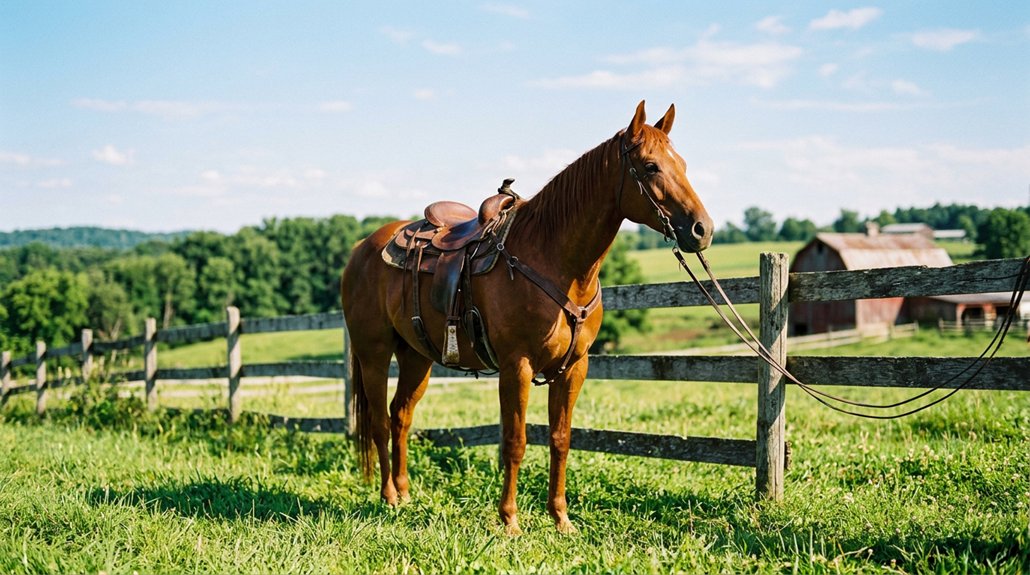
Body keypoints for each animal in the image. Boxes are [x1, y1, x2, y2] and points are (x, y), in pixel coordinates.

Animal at [340, 101, 713, 535]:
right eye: (651, 166)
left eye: (682, 164)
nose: (702, 230)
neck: (553, 260)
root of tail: (362, 248)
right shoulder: (516, 366)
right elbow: (515, 441)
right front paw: (510, 520)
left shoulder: (574, 368)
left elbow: (560, 439)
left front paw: (561, 518)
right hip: (374, 352)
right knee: (381, 423)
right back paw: (388, 497)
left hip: (417, 355)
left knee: (401, 416)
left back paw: (404, 492)